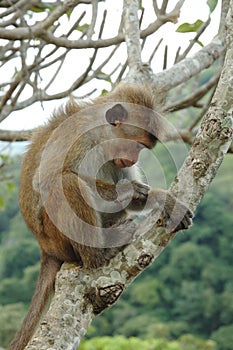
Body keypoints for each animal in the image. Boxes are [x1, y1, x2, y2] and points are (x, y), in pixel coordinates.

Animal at [8, 85, 192, 350]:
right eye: (137, 145)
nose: (135, 158)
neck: (101, 136)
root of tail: (45, 248)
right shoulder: (77, 136)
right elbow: (46, 181)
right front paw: (131, 190)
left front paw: (161, 198)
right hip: (57, 237)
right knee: (66, 182)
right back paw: (98, 254)